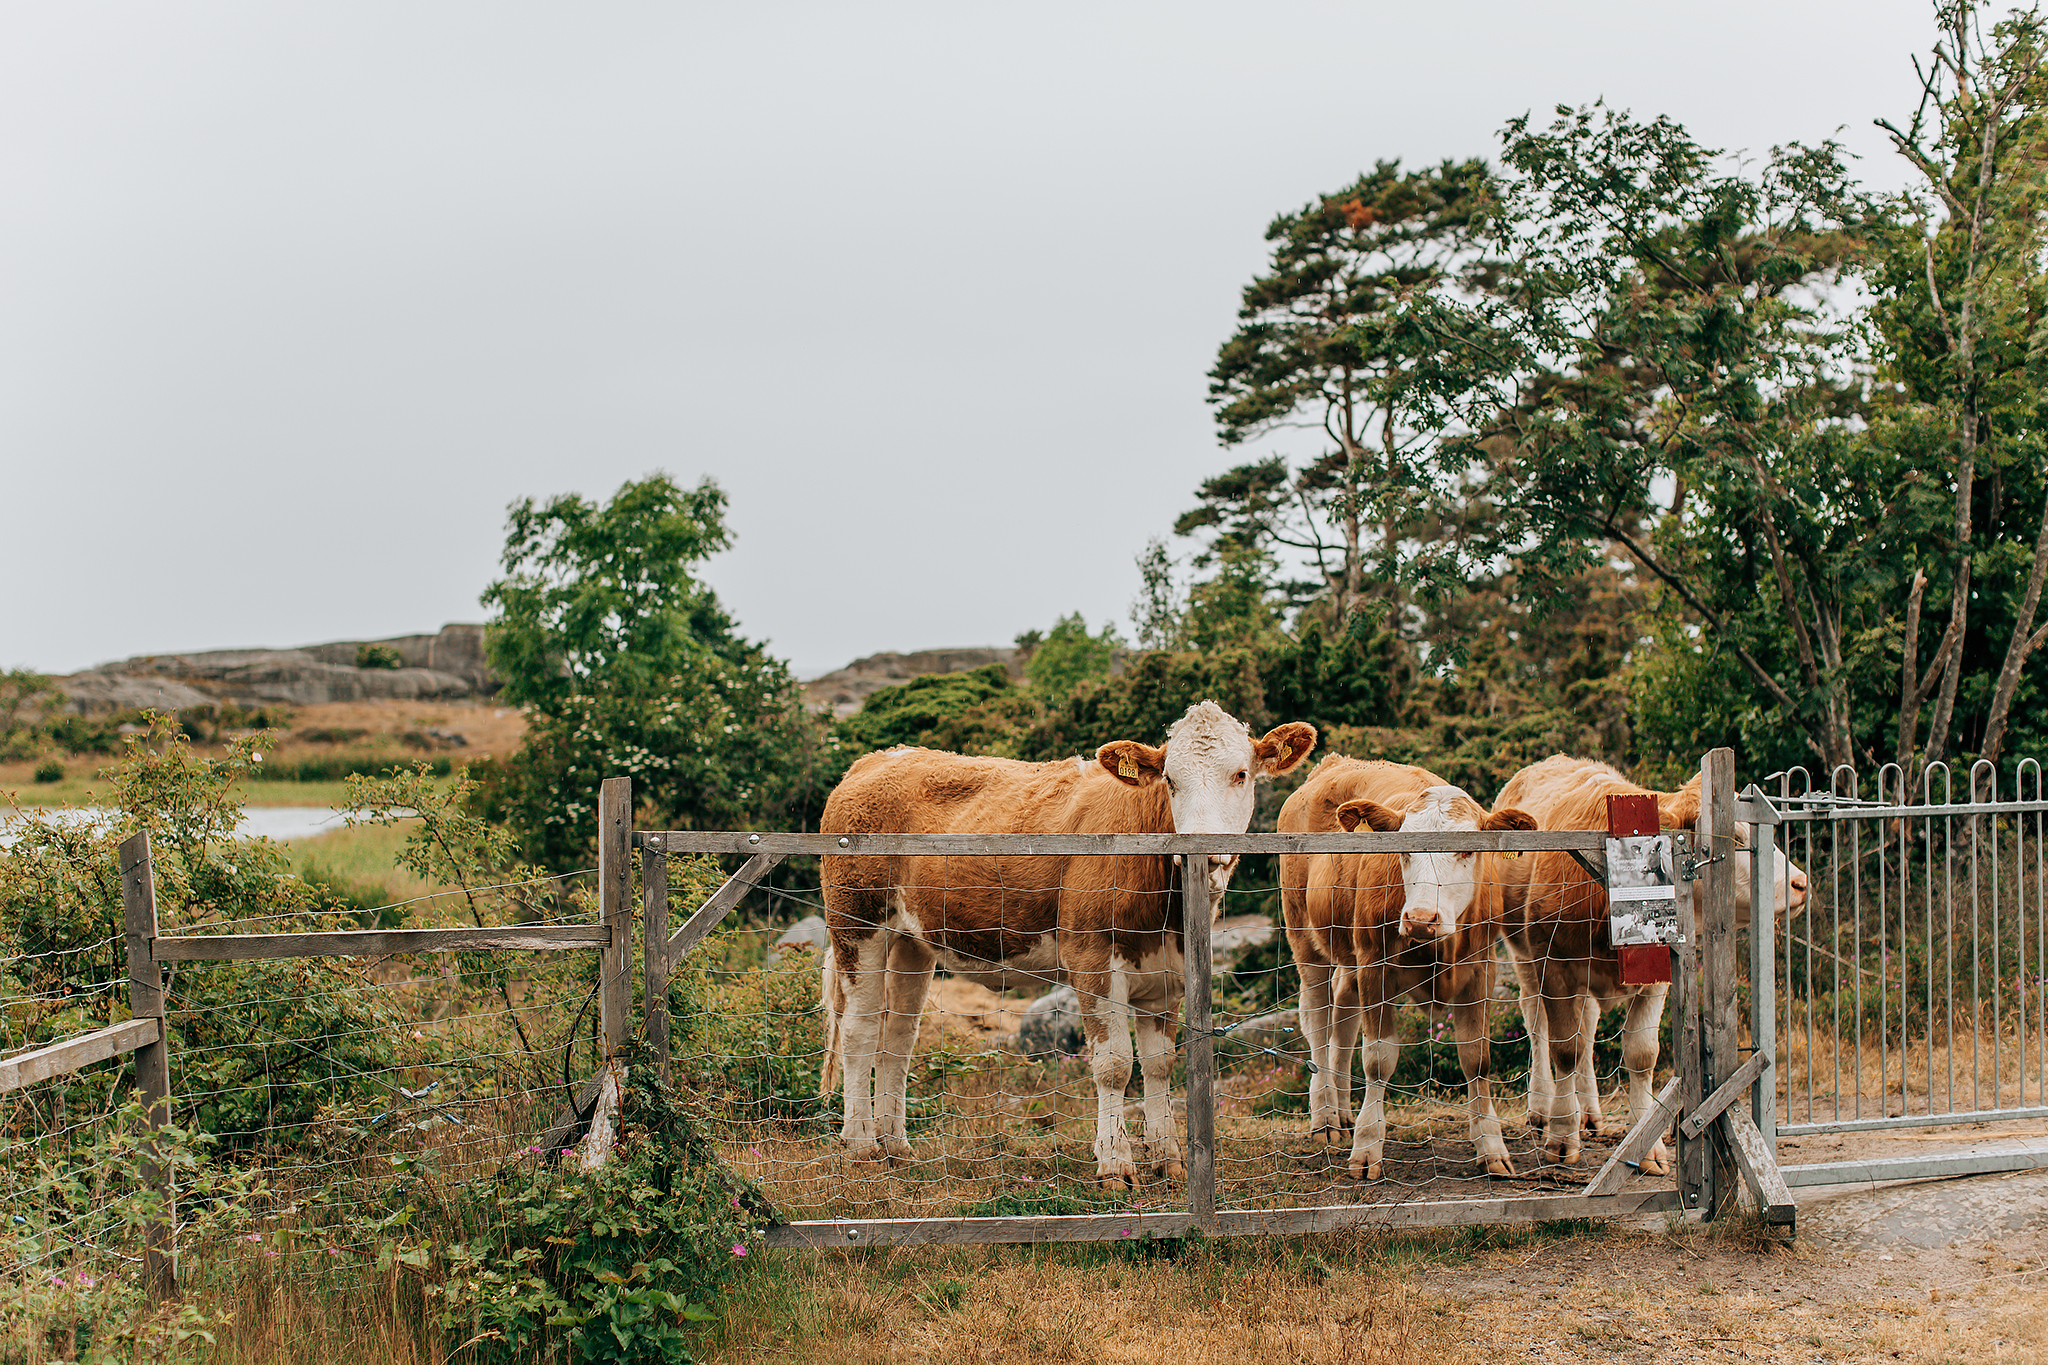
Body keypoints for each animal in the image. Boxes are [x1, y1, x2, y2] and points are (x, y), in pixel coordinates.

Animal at [815, 703, 1310, 1186]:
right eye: (1170, 779)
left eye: (1241, 774)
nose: (1203, 852)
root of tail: (878, 758)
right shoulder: (1091, 957)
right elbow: (1114, 1063)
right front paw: (1115, 1164)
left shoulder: (1168, 974)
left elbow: (1159, 1064)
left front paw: (1167, 1160)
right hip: (856, 921)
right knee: (859, 1030)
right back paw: (861, 1146)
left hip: (911, 943)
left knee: (897, 1037)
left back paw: (895, 1147)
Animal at [1277, 757, 1540, 1186]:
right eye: (1403, 849)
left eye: (1468, 849)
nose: (1419, 919)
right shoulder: (1375, 967)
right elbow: (1378, 1059)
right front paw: (1367, 1148)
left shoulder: (1481, 970)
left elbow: (1477, 1059)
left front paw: (1491, 1148)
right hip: (1306, 939)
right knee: (1317, 1024)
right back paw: (1326, 1119)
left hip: (1349, 959)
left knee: (1342, 1022)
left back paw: (1343, 1112)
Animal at [1490, 757, 1810, 1178]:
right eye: (1737, 839)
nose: (1800, 883)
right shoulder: (1554, 967)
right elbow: (1565, 1050)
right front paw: (1561, 1136)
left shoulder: (1657, 975)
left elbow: (1641, 1054)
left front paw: (1646, 1146)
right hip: (1524, 958)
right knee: (1537, 1023)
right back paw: (1542, 1108)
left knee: (1587, 1026)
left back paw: (1589, 1112)